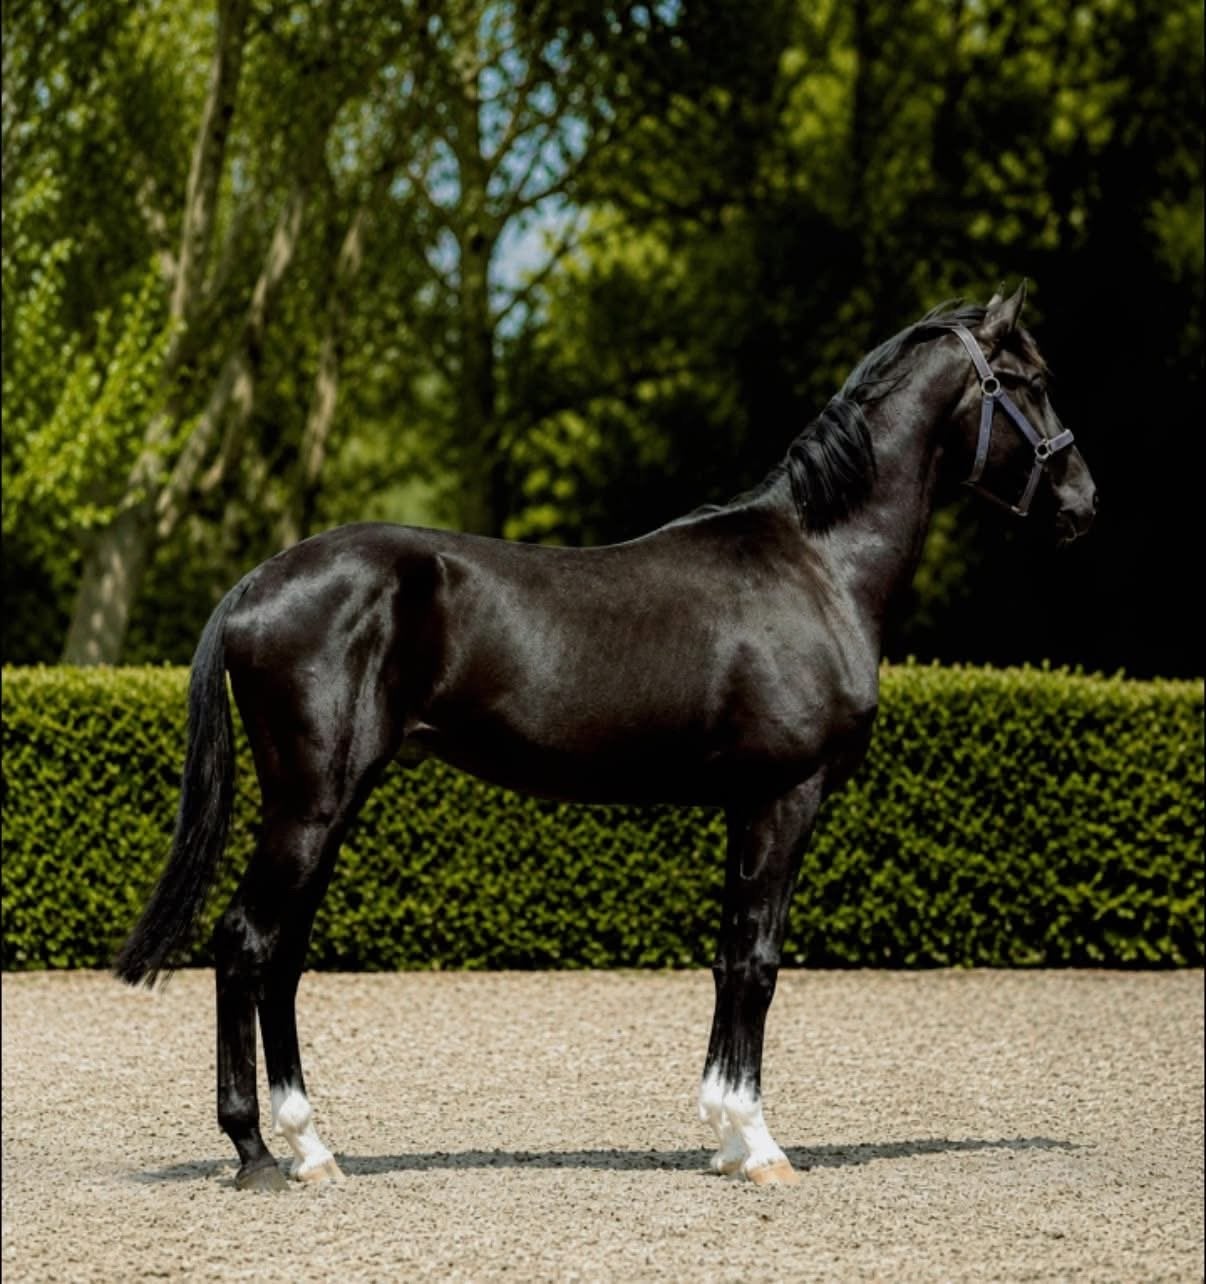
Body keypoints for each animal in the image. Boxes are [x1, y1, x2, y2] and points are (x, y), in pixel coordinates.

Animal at [114, 283, 1097, 1191]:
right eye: (1029, 382)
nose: (1085, 502)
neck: (818, 564)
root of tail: (256, 585)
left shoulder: (745, 805)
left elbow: (729, 955)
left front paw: (725, 1138)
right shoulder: (786, 798)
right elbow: (759, 962)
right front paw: (760, 1146)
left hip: (329, 806)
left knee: (281, 956)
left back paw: (312, 1149)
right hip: (310, 804)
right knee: (245, 942)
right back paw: (254, 1153)